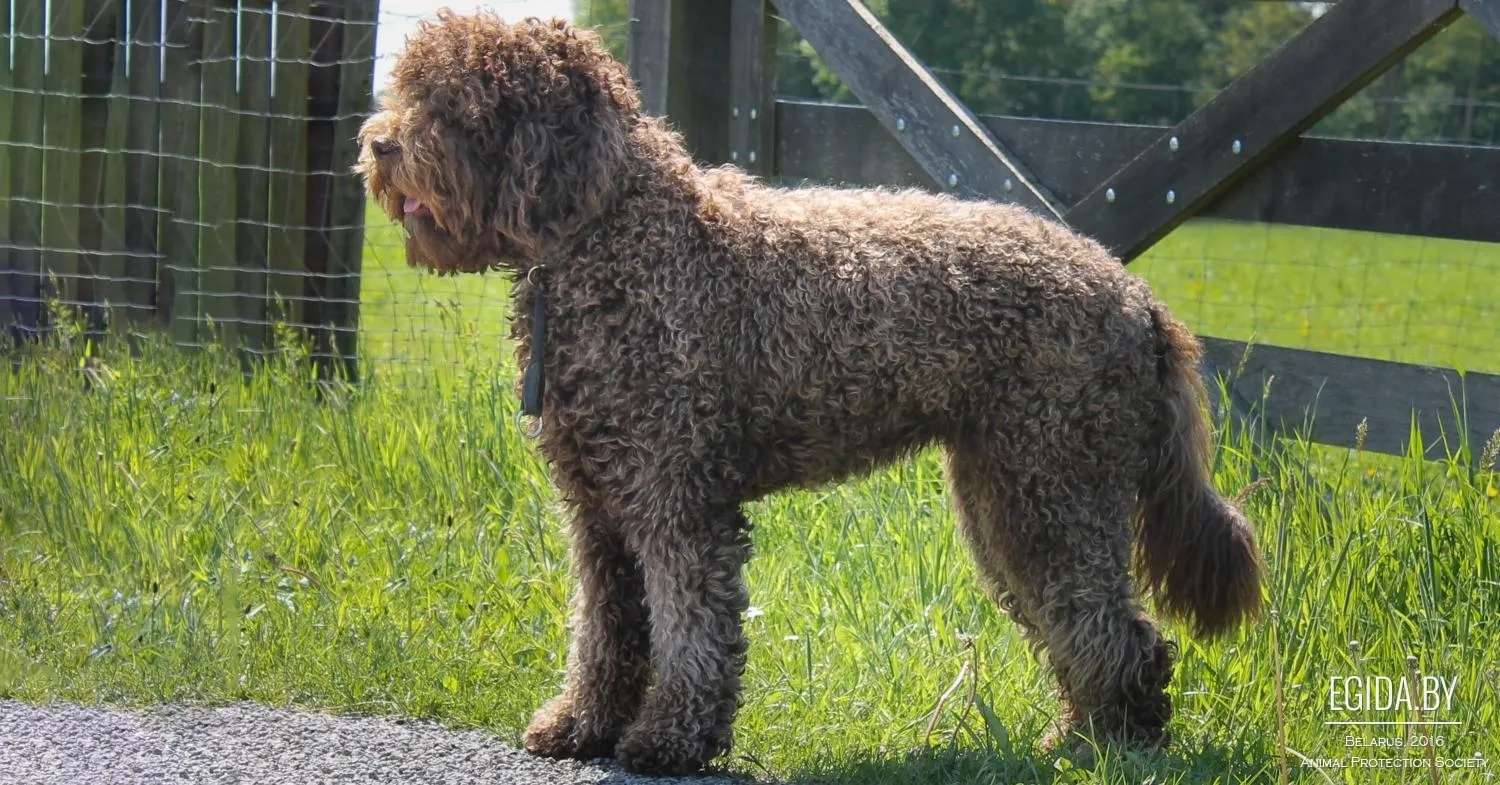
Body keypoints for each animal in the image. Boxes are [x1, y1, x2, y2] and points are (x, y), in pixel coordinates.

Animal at [360, 10, 1266, 774]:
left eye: (461, 104)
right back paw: (1083, 735)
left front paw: (670, 740)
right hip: (1008, 491)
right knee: (1089, 626)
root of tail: (1137, 296)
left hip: (1052, 486)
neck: (619, 237)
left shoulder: (676, 499)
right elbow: (606, 630)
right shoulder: (599, 508)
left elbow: (690, 630)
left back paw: (1106, 746)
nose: (379, 145)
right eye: (408, 90)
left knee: (1115, 627)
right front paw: (583, 724)